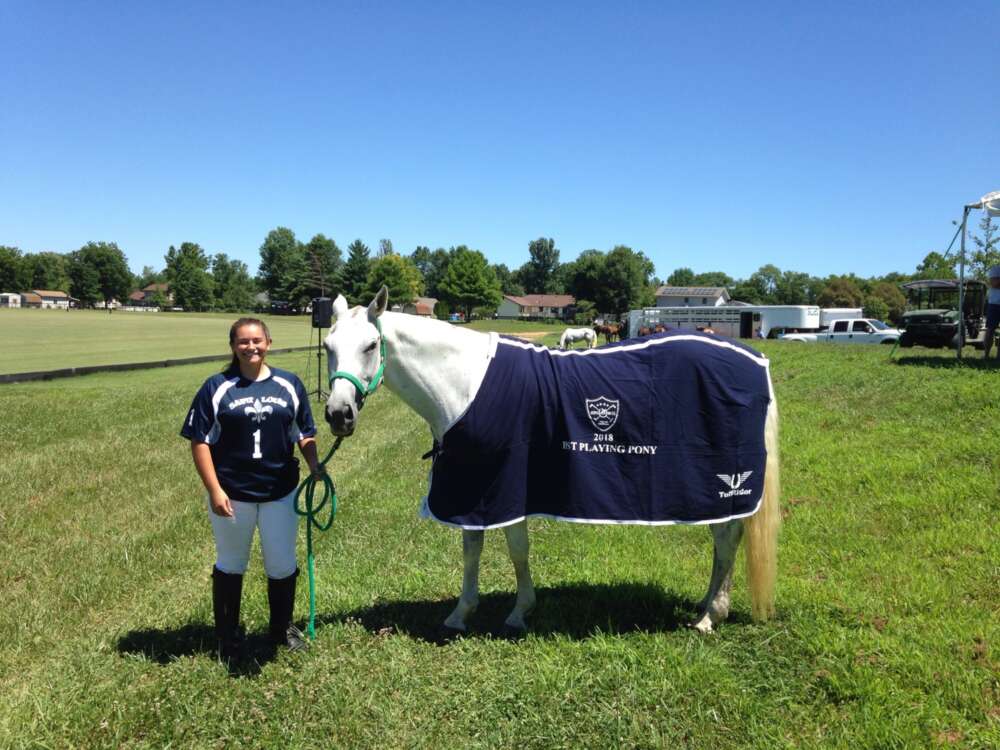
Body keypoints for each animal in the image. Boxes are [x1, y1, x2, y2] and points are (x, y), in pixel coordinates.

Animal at [324, 290, 784, 636]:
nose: (337, 414)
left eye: (370, 345)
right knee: (723, 542)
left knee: (726, 540)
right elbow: (474, 549)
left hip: (723, 484)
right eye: (327, 347)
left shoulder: (503, 486)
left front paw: (516, 613)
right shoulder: (477, 488)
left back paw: (710, 616)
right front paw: (463, 613)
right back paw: (707, 605)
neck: (466, 384)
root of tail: (754, 360)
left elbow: (515, 550)